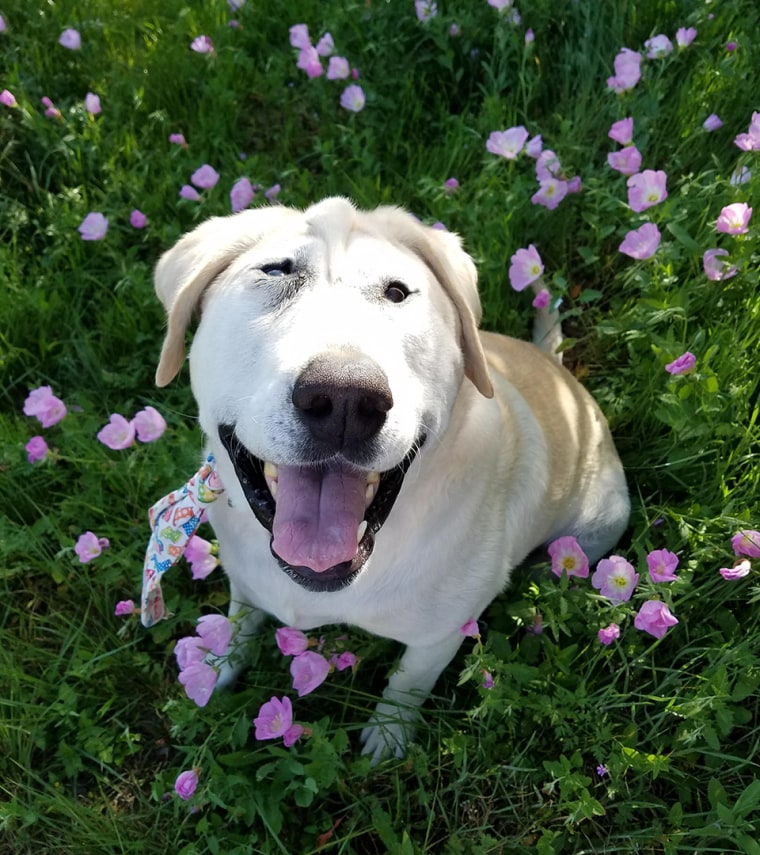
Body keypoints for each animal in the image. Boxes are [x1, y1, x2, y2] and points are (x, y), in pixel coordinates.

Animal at [150, 199, 628, 764]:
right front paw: (216, 668)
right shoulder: (245, 581)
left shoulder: (439, 637)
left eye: (398, 292)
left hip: (600, 526)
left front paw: (388, 734)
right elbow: (238, 625)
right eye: (276, 272)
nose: (345, 398)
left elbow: (408, 683)